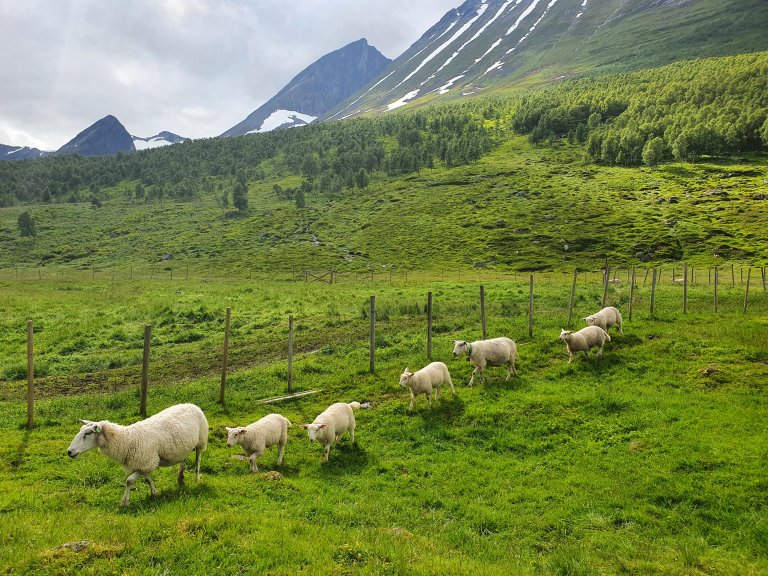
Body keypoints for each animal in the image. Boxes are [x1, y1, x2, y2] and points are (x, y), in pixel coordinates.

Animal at [66, 402, 208, 506]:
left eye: (88, 433)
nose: (69, 452)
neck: (127, 440)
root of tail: (192, 404)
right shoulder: (143, 464)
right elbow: (148, 479)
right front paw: (154, 493)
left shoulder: (147, 462)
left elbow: (129, 481)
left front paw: (124, 502)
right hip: (184, 447)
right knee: (183, 460)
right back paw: (180, 479)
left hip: (201, 441)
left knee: (198, 460)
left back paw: (196, 479)